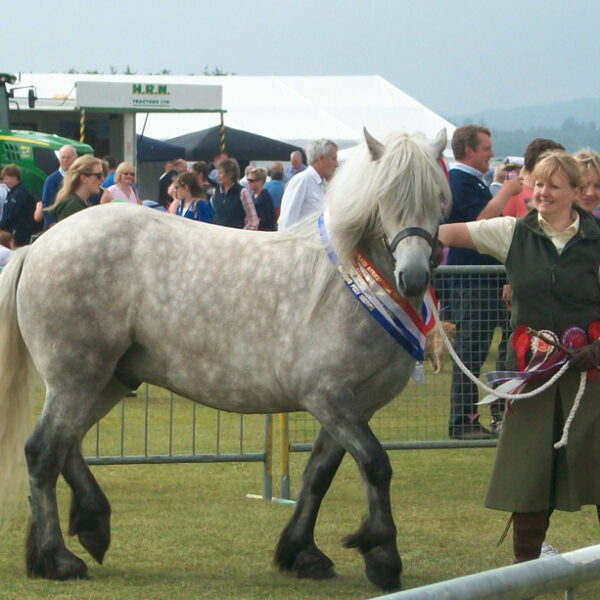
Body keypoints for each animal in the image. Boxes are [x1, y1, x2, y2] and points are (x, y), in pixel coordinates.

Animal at [0, 127, 450, 592]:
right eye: (385, 197)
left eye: (439, 197)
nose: (414, 277)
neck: (347, 284)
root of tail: (38, 246)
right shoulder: (329, 397)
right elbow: (375, 465)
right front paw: (384, 558)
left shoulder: (355, 404)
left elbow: (319, 474)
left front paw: (302, 552)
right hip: (76, 377)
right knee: (43, 451)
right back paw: (57, 558)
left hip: (107, 380)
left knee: (66, 445)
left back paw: (90, 525)